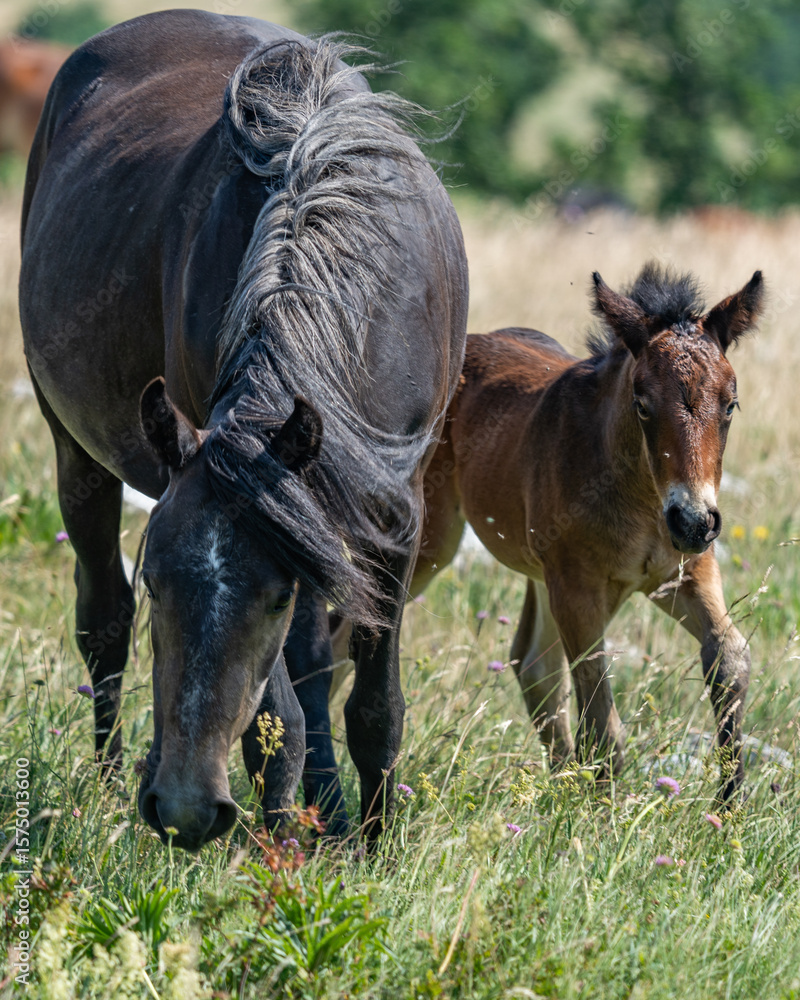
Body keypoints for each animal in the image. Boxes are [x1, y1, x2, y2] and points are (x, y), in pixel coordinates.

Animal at [19, 9, 468, 851]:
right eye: (158, 582)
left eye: (270, 596)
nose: (186, 809)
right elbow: (277, 715)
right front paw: (283, 841)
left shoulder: (394, 510)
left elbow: (372, 700)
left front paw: (374, 843)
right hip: (76, 456)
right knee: (103, 625)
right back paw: (114, 784)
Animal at [333, 264, 762, 799]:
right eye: (642, 404)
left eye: (731, 404)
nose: (693, 520)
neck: (642, 499)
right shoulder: (577, 586)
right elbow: (600, 710)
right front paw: (600, 808)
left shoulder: (685, 571)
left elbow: (730, 657)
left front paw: (730, 800)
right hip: (434, 545)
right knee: (344, 632)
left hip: (542, 572)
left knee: (533, 663)